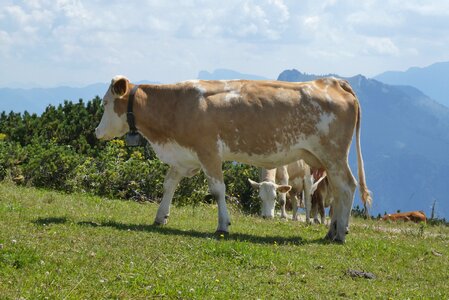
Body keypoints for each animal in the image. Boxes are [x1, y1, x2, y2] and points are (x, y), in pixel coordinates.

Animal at [94, 75, 372, 244]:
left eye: (105, 102)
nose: (96, 132)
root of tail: (331, 81)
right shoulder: (184, 156)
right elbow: (169, 184)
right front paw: (161, 216)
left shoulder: (208, 152)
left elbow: (218, 190)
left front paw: (223, 225)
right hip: (327, 160)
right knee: (339, 191)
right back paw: (331, 231)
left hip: (334, 154)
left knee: (347, 186)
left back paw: (339, 234)